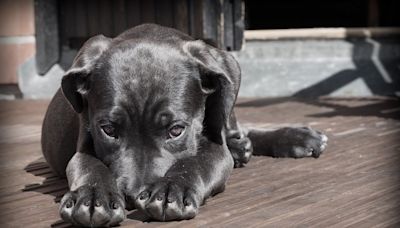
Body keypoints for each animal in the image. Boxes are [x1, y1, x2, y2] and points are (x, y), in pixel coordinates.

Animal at [41, 24, 328, 227]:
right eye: (108, 130)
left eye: (176, 130)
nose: (133, 196)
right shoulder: (84, 143)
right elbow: (89, 165)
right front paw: (91, 197)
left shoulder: (214, 147)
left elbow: (196, 162)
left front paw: (172, 189)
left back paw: (293, 138)